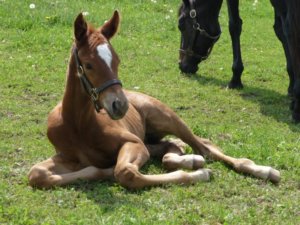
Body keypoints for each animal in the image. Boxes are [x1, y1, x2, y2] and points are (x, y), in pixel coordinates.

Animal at [28, 11, 282, 190]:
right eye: (89, 64)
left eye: (117, 60)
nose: (120, 105)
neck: (78, 125)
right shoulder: (67, 157)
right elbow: (36, 174)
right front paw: (101, 170)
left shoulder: (134, 143)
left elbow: (125, 172)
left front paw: (200, 175)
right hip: (153, 138)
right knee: (172, 149)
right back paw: (190, 159)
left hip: (167, 118)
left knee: (204, 146)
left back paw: (264, 171)